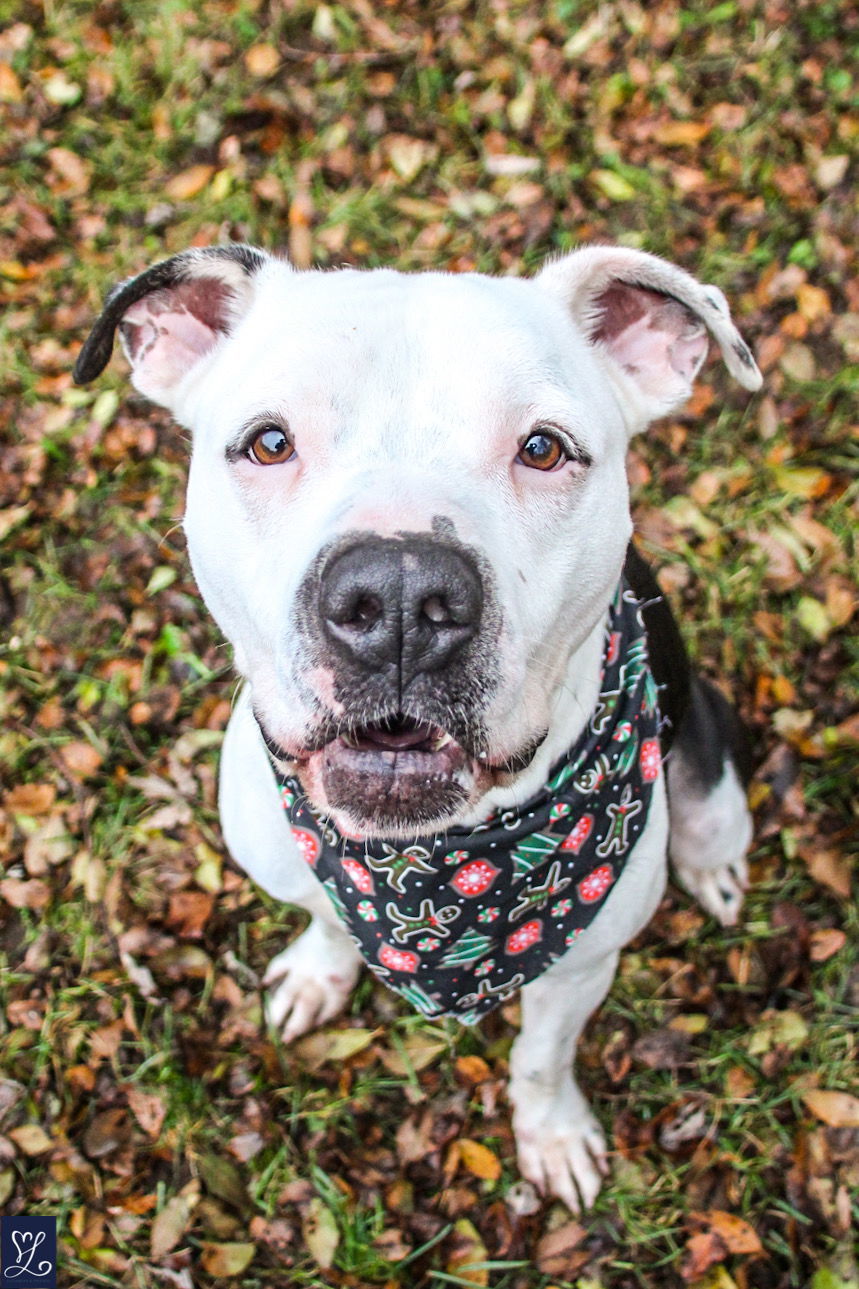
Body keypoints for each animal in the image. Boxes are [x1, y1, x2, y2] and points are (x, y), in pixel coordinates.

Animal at [71, 243, 758, 1216]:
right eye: (269, 442)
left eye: (543, 449)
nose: (398, 596)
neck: (427, 870)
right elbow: (326, 921)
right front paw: (320, 971)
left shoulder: (580, 970)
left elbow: (540, 1058)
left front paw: (551, 1134)